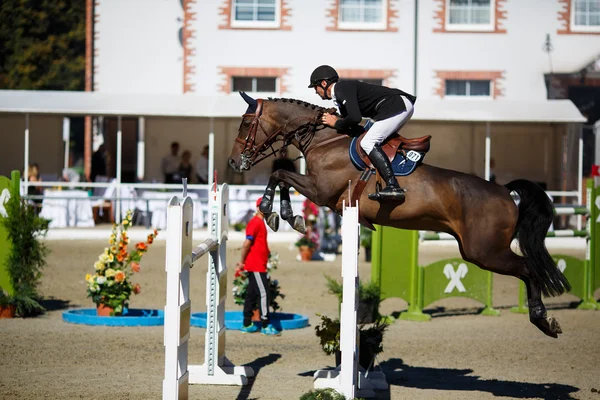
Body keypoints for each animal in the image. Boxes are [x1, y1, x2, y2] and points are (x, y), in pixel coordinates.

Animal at [229, 92, 572, 340]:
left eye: (245, 125)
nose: (234, 163)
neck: (324, 140)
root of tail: (504, 192)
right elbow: (282, 178)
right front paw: (286, 215)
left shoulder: (320, 191)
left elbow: (280, 175)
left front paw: (274, 210)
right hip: (477, 251)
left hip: (485, 252)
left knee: (528, 269)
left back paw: (543, 321)